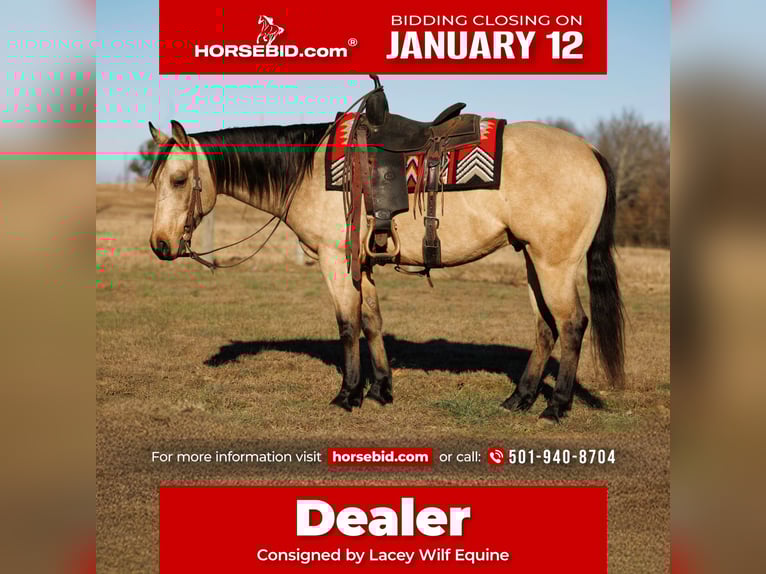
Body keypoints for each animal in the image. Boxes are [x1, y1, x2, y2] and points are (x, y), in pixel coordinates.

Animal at [147, 115, 624, 422]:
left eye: (178, 180)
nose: (160, 245)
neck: (311, 172)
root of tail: (589, 150)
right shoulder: (363, 265)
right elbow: (372, 322)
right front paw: (380, 389)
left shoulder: (335, 261)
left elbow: (347, 324)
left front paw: (348, 394)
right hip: (532, 260)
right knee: (545, 328)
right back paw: (519, 399)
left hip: (554, 264)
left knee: (572, 325)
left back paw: (555, 406)